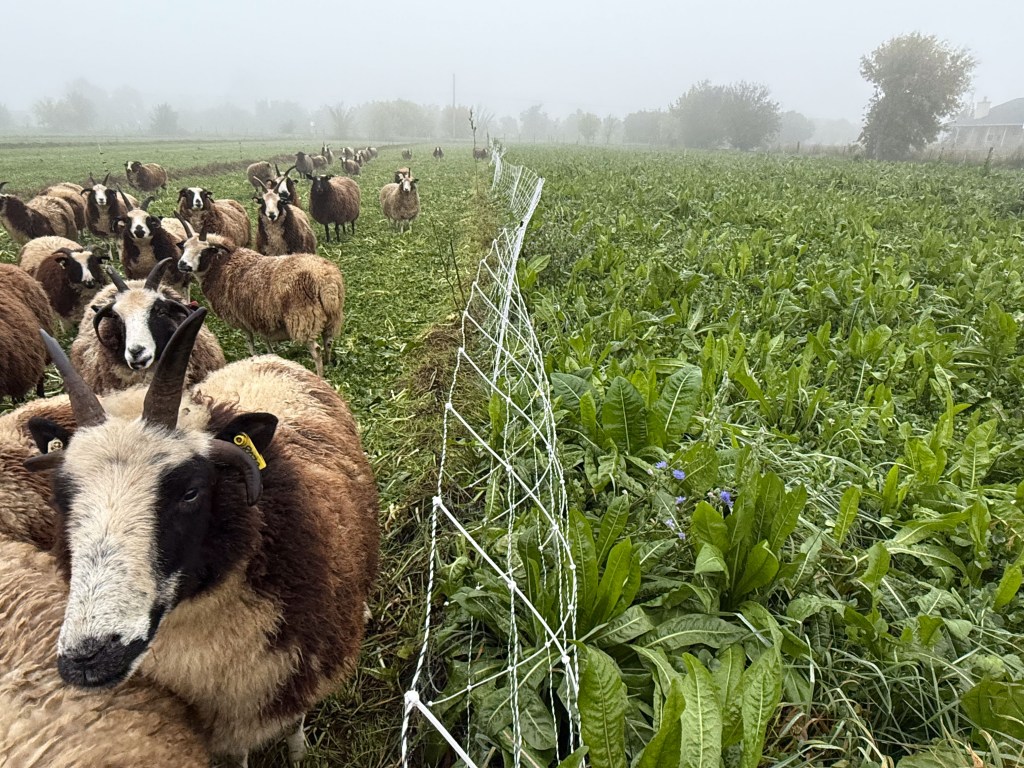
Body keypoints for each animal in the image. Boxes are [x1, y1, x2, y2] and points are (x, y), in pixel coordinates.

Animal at [22, 309, 379, 763]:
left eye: (190, 492)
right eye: (62, 498)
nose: (87, 657)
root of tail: (266, 358)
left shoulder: (302, 662)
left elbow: (296, 720)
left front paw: (299, 753)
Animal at [177, 231, 344, 376]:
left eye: (204, 251)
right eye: (184, 247)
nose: (182, 264)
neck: (221, 266)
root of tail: (324, 279)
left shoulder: (241, 318)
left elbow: (250, 340)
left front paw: (254, 357)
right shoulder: (260, 316)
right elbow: (265, 338)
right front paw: (271, 354)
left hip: (302, 318)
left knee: (316, 350)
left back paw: (320, 374)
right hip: (331, 316)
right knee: (328, 341)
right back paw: (329, 362)